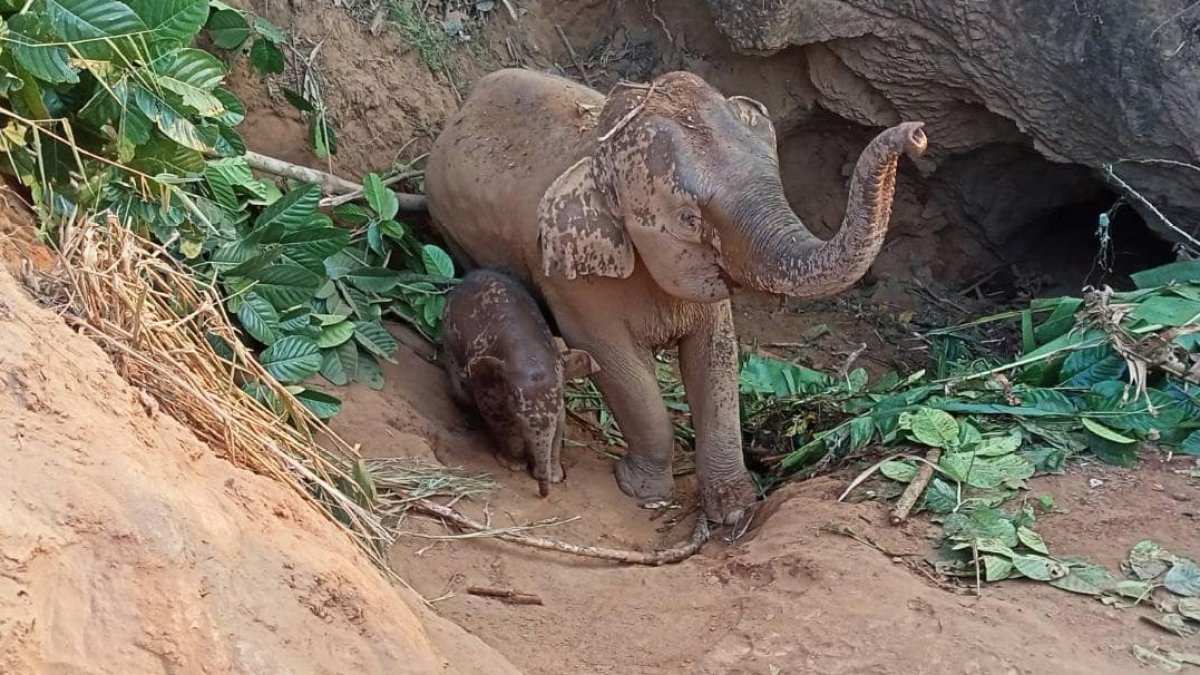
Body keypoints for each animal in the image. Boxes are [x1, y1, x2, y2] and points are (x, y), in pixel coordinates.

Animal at [442, 268, 600, 496]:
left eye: (558, 407)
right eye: (518, 415)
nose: (542, 493)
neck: (527, 348)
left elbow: (561, 422)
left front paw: (555, 476)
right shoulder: (489, 389)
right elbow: (500, 420)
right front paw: (515, 465)